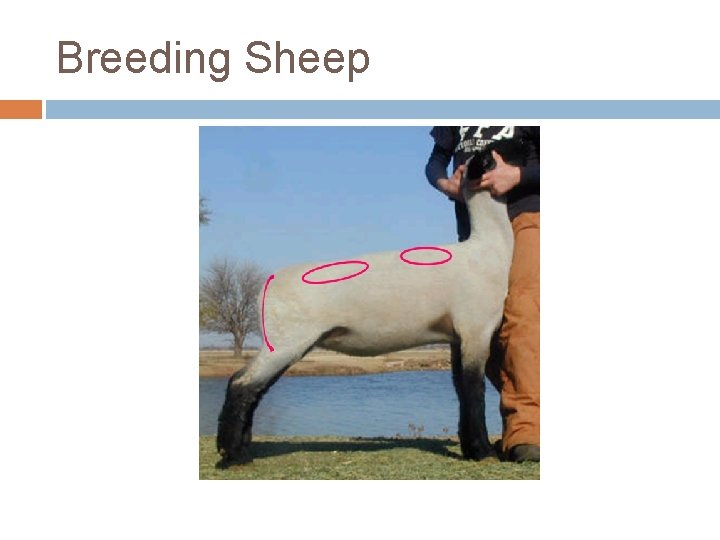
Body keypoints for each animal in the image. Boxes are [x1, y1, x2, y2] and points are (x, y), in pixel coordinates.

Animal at [216, 143, 522, 466]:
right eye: (494, 155)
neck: (489, 248)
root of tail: (268, 285)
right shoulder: (475, 329)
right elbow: (474, 390)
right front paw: (482, 451)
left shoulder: (455, 336)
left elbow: (461, 390)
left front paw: (469, 448)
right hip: (288, 339)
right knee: (242, 385)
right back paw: (233, 455)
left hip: (283, 342)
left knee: (251, 388)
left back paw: (241, 449)